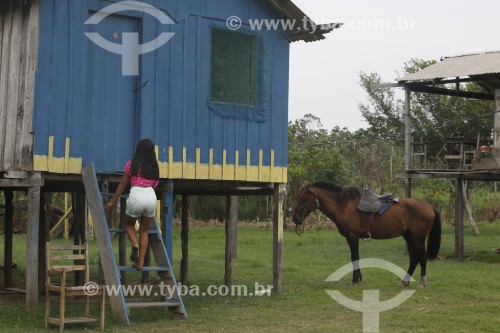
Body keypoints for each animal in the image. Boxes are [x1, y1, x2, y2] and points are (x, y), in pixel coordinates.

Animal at [292, 180, 442, 286]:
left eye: (304, 199)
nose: (295, 219)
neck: (342, 206)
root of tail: (429, 207)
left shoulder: (352, 237)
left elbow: (354, 257)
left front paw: (355, 280)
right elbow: (356, 257)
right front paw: (358, 278)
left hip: (418, 238)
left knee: (422, 257)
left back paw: (422, 282)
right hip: (409, 237)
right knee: (414, 259)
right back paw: (404, 282)